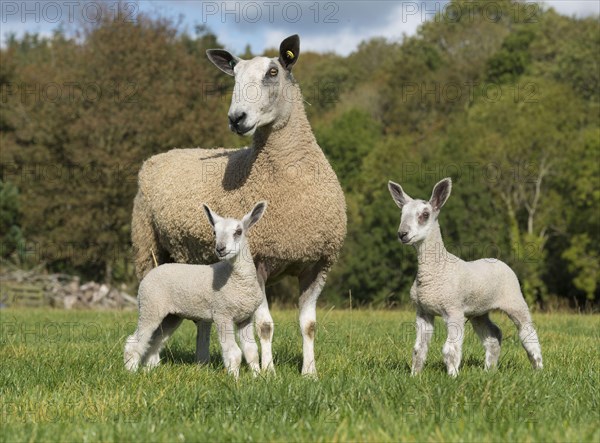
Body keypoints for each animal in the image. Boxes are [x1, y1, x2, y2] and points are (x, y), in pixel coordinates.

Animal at [124, 201, 268, 378]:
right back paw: (131, 372)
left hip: (171, 315)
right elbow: (234, 353)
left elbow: (251, 350)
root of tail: (151, 273)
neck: (237, 280)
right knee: (134, 341)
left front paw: (258, 378)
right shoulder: (222, 314)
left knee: (154, 342)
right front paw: (235, 380)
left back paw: (149, 370)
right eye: (214, 232)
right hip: (150, 306)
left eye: (238, 231)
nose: (220, 248)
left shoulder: (245, 317)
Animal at [390, 179, 544, 376]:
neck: (438, 269)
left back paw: (538, 368)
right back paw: (489, 370)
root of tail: (497, 260)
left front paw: (453, 376)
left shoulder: (454, 309)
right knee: (494, 335)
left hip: (514, 300)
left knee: (528, 332)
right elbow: (419, 349)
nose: (402, 234)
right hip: (479, 310)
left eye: (424, 214)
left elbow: (450, 349)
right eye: (402, 214)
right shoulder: (423, 311)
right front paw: (415, 376)